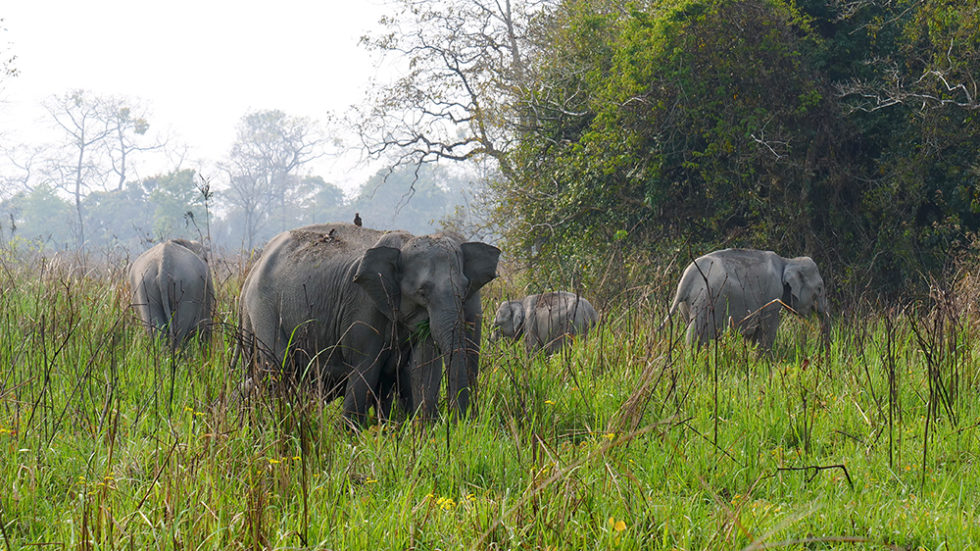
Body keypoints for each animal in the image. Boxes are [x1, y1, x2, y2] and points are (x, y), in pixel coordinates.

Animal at [236, 224, 498, 426]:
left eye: (465, 289)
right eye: (422, 292)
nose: (461, 424)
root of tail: (252, 270)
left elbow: (422, 369)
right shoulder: (363, 305)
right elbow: (365, 367)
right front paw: (351, 437)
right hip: (264, 310)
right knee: (276, 370)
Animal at [668, 250, 828, 350]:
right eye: (820, 289)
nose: (818, 350)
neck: (787, 261)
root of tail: (687, 278)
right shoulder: (772, 295)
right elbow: (767, 329)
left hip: (687, 306)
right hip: (706, 302)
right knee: (695, 336)